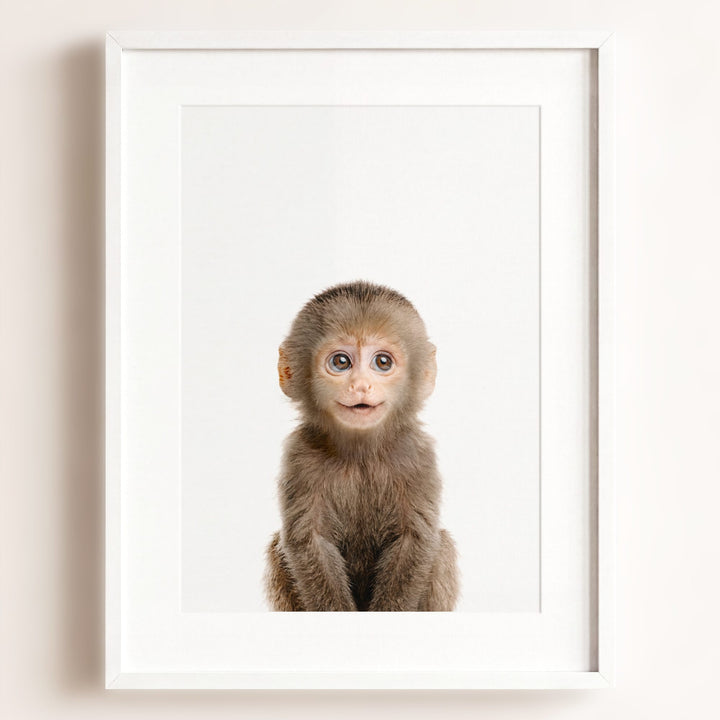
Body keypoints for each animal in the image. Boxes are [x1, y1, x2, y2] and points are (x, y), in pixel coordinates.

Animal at [265, 280, 458, 611]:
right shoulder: (299, 455)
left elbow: (415, 540)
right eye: (341, 362)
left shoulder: (417, 454)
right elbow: (309, 541)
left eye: (382, 362)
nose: (360, 386)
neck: (361, 454)